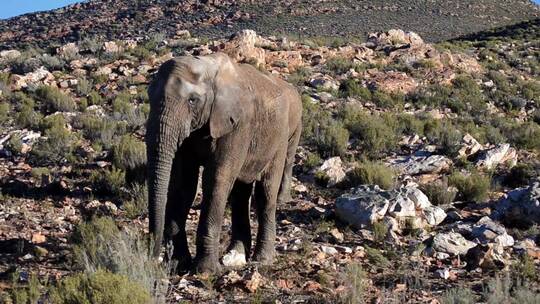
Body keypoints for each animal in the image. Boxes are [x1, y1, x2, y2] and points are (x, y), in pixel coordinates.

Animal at [146, 52, 302, 274]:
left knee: (265, 193)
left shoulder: (237, 125)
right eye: (149, 96)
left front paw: (205, 271)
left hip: (279, 138)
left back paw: (262, 260)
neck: (207, 67)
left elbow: (216, 180)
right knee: (240, 194)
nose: (153, 260)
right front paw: (179, 265)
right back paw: (235, 255)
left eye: (192, 100)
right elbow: (184, 185)